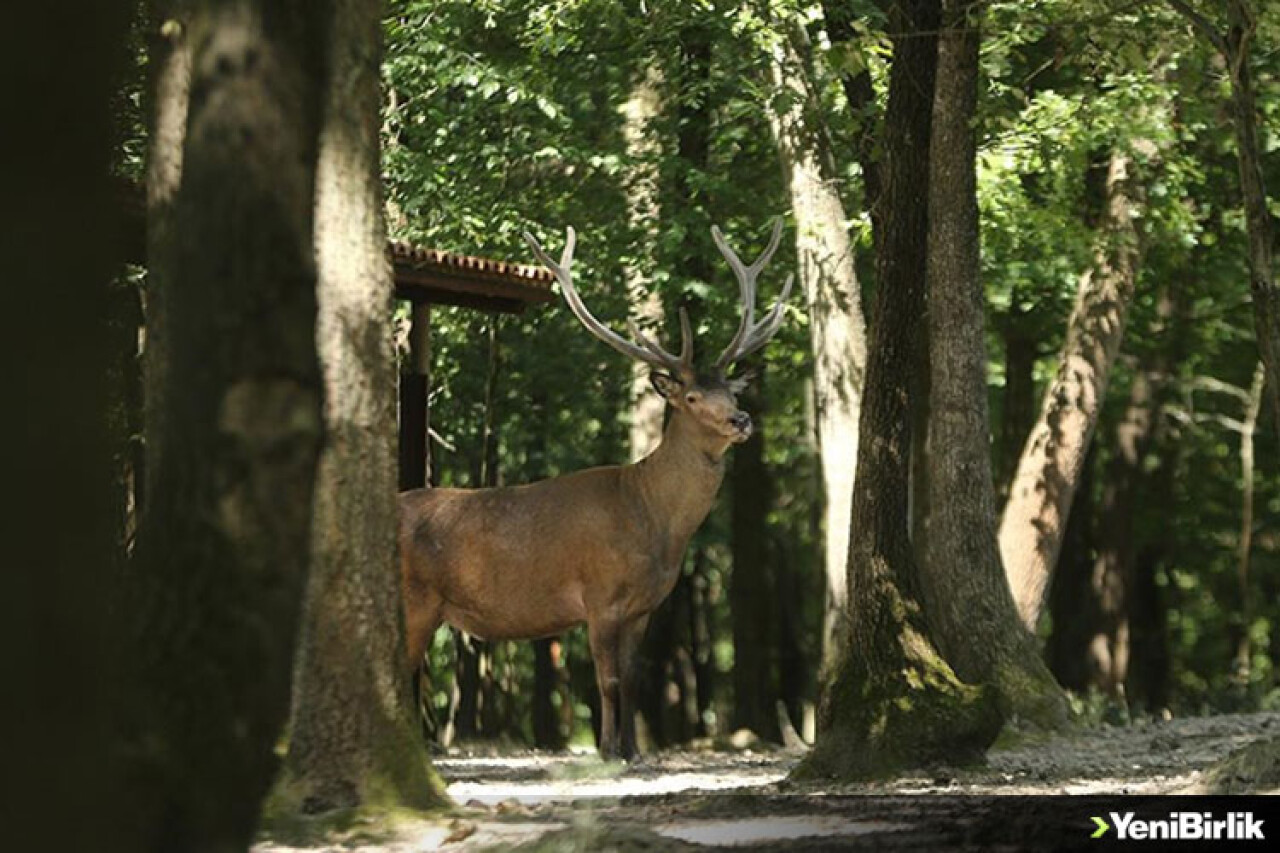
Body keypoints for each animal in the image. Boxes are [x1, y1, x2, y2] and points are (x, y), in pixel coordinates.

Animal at [399, 220, 793, 758]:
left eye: (731, 392)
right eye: (693, 397)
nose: (742, 419)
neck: (652, 522)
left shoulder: (643, 608)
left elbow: (632, 680)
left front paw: (632, 749)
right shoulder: (599, 595)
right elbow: (607, 681)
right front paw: (607, 750)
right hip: (414, 599)